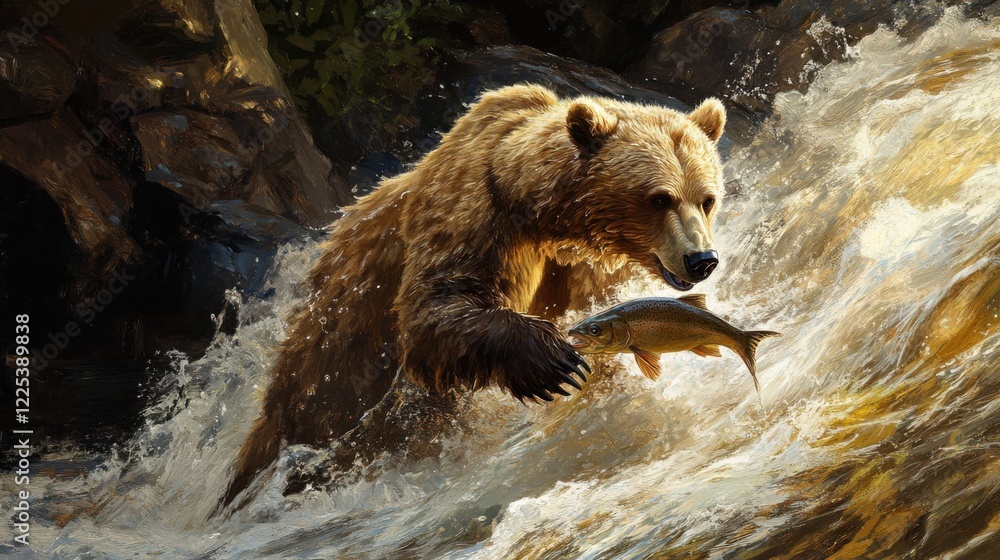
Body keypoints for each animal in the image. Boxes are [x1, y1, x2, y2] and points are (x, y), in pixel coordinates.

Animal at [221, 84, 727, 508]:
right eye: (659, 198)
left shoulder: (580, 268)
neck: (544, 215)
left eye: (707, 198)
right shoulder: (474, 213)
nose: (701, 260)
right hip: (337, 354)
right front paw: (553, 361)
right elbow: (437, 307)